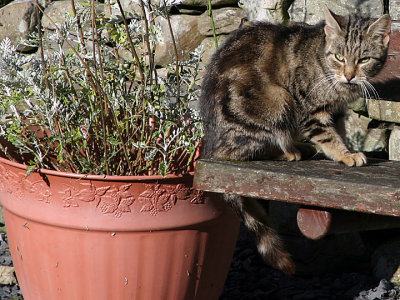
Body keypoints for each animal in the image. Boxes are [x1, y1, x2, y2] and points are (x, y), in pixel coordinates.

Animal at [200, 7, 390, 274]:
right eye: (340, 57)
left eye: (364, 60)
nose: (350, 76)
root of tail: (210, 142)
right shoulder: (311, 110)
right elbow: (328, 136)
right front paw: (346, 155)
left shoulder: (337, 110)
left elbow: (339, 130)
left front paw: (345, 149)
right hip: (279, 100)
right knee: (235, 151)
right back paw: (288, 151)